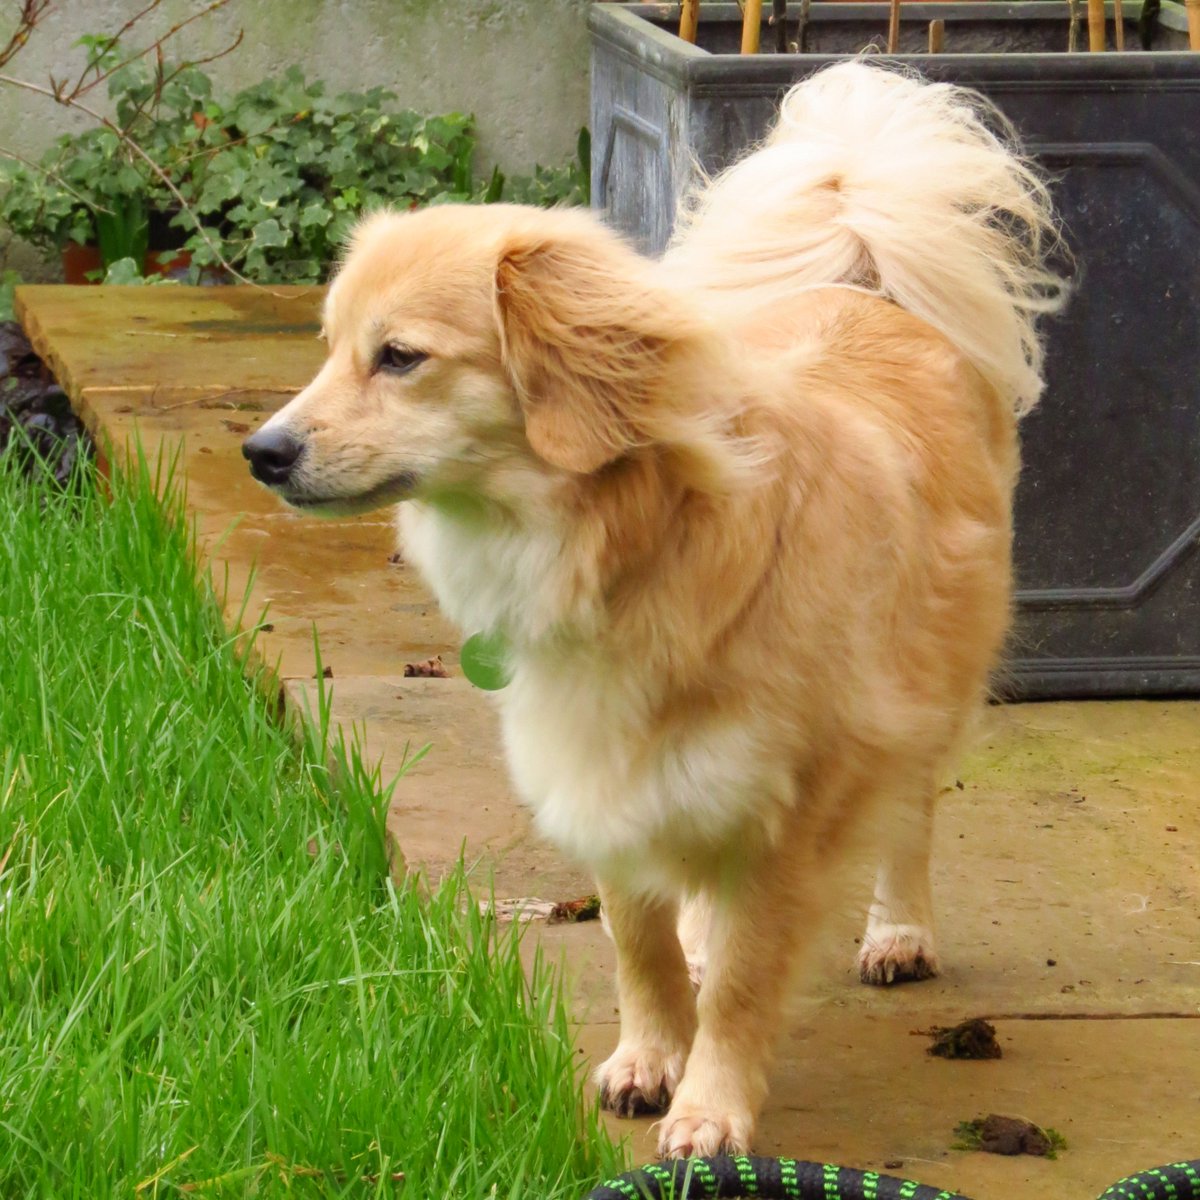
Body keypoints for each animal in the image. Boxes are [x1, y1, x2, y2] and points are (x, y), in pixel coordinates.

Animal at [243, 62, 1065, 1158]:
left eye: (401, 357)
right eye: (332, 350)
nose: (263, 452)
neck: (632, 541)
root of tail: (862, 285)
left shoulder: (786, 810)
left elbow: (749, 983)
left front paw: (710, 1105)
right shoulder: (608, 771)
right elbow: (640, 942)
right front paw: (650, 1055)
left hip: (925, 693)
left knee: (909, 815)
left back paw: (899, 929)